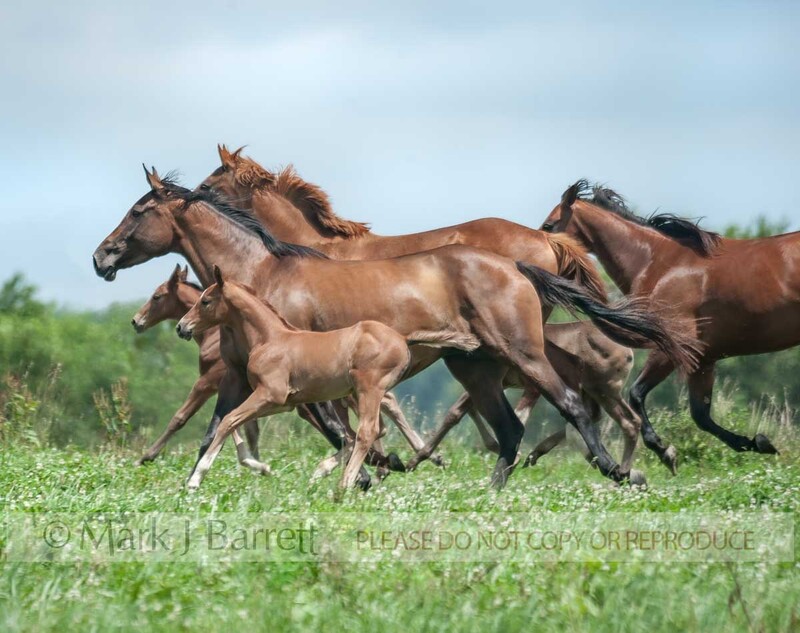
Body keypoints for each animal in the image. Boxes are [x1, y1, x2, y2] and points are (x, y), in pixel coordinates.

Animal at [177, 267, 478, 490]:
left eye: (205, 301)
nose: (181, 327)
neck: (270, 338)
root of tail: (403, 338)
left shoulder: (269, 395)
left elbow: (228, 420)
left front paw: (196, 479)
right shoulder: (281, 403)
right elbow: (232, 424)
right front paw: (260, 466)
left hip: (367, 389)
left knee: (366, 432)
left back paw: (343, 483)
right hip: (358, 393)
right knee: (363, 432)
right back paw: (326, 471)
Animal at [541, 180, 795, 472]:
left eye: (549, 225)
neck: (660, 264)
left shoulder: (673, 348)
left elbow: (637, 394)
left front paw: (665, 451)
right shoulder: (703, 360)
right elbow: (701, 415)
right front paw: (758, 443)